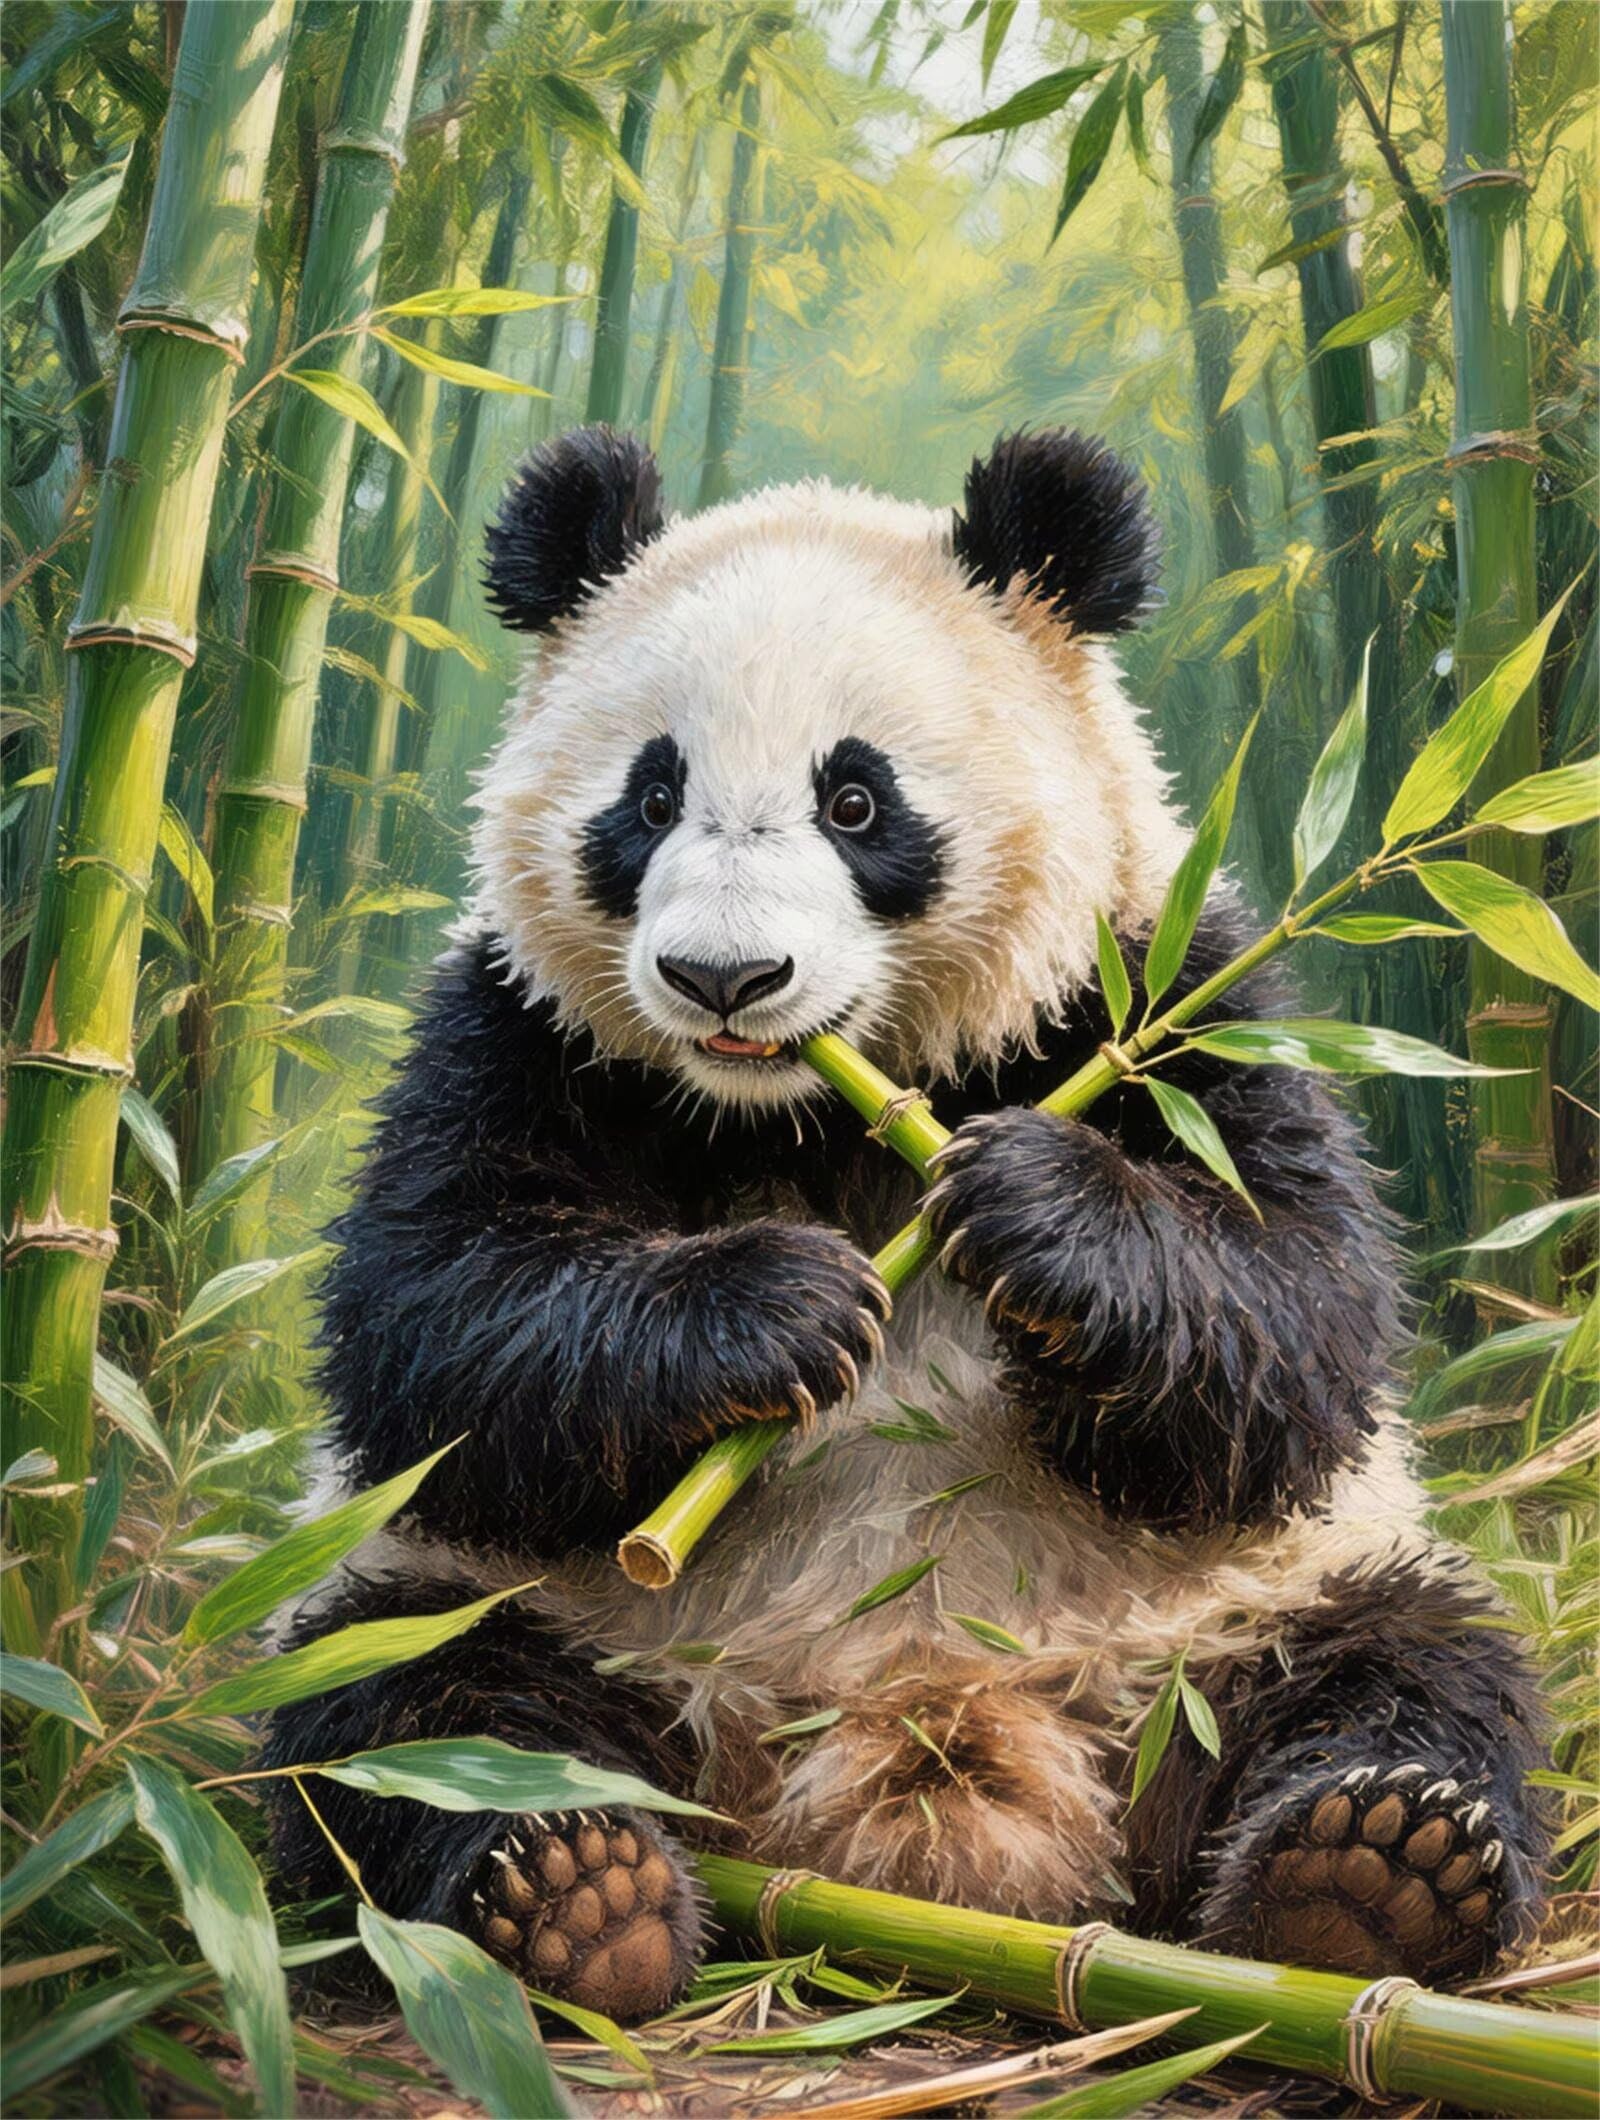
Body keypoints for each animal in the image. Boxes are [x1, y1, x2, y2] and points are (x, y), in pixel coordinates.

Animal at [266, 425, 1548, 2024]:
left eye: (857, 801)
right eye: (649, 798)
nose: (725, 978)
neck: (807, 1116)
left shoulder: (1162, 997)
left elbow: (1296, 1326)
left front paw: (1037, 1212)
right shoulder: (516, 1028)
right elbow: (434, 1325)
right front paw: (775, 1309)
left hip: (1236, 1614)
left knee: (1415, 1667)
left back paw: (1370, 1875)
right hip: (513, 1609)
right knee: (404, 1713)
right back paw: (575, 1893)